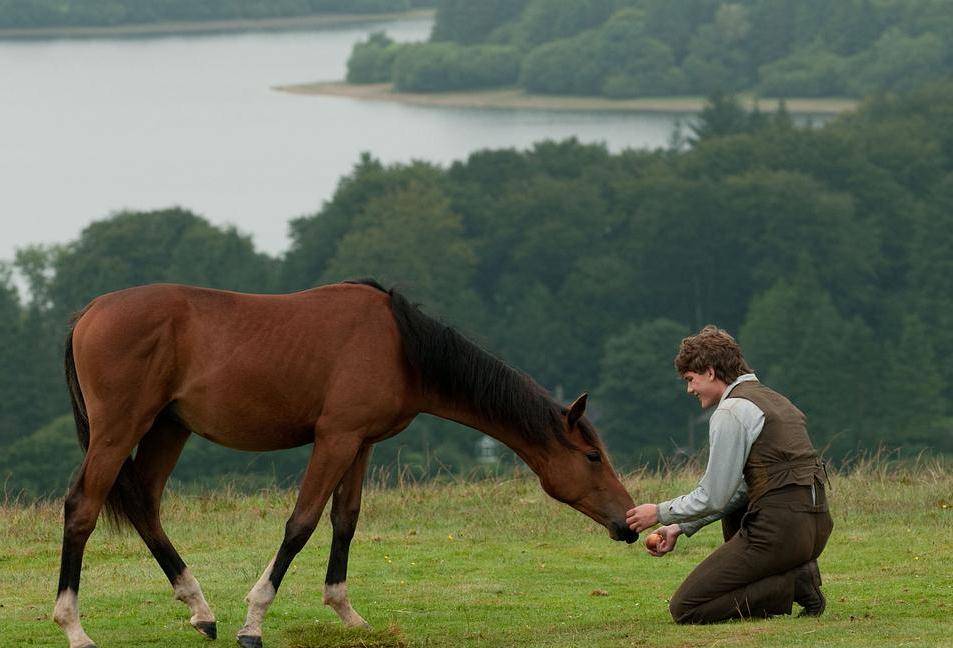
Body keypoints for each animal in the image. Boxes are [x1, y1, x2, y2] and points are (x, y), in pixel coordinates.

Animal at [50, 280, 632, 648]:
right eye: (592, 456)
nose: (627, 521)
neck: (400, 346)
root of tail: (88, 313)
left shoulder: (362, 443)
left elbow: (344, 521)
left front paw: (345, 611)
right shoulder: (335, 438)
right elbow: (302, 523)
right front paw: (254, 621)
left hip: (168, 428)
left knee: (145, 506)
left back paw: (201, 609)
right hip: (119, 430)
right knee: (82, 508)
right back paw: (74, 626)